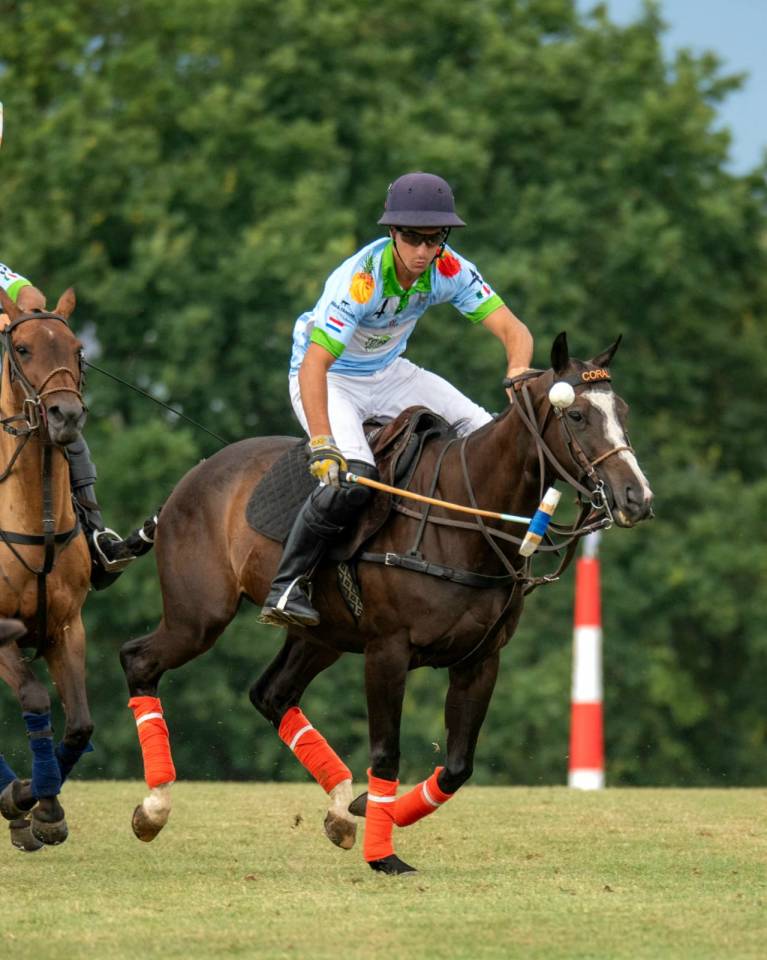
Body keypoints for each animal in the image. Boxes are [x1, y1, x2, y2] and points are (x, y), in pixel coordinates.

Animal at [120, 333, 653, 874]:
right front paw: (384, 855)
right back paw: (154, 809)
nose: (638, 498)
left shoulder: (481, 659)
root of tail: (186, 482)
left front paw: (371, 811)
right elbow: (386, 753)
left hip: (321, 636)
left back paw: (339, 808)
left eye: (623, 410)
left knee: (271, 694)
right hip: (199, 616)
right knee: (139, 660)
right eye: (577, 414)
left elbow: (458, 766)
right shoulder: (387, 652)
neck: (464, 516)